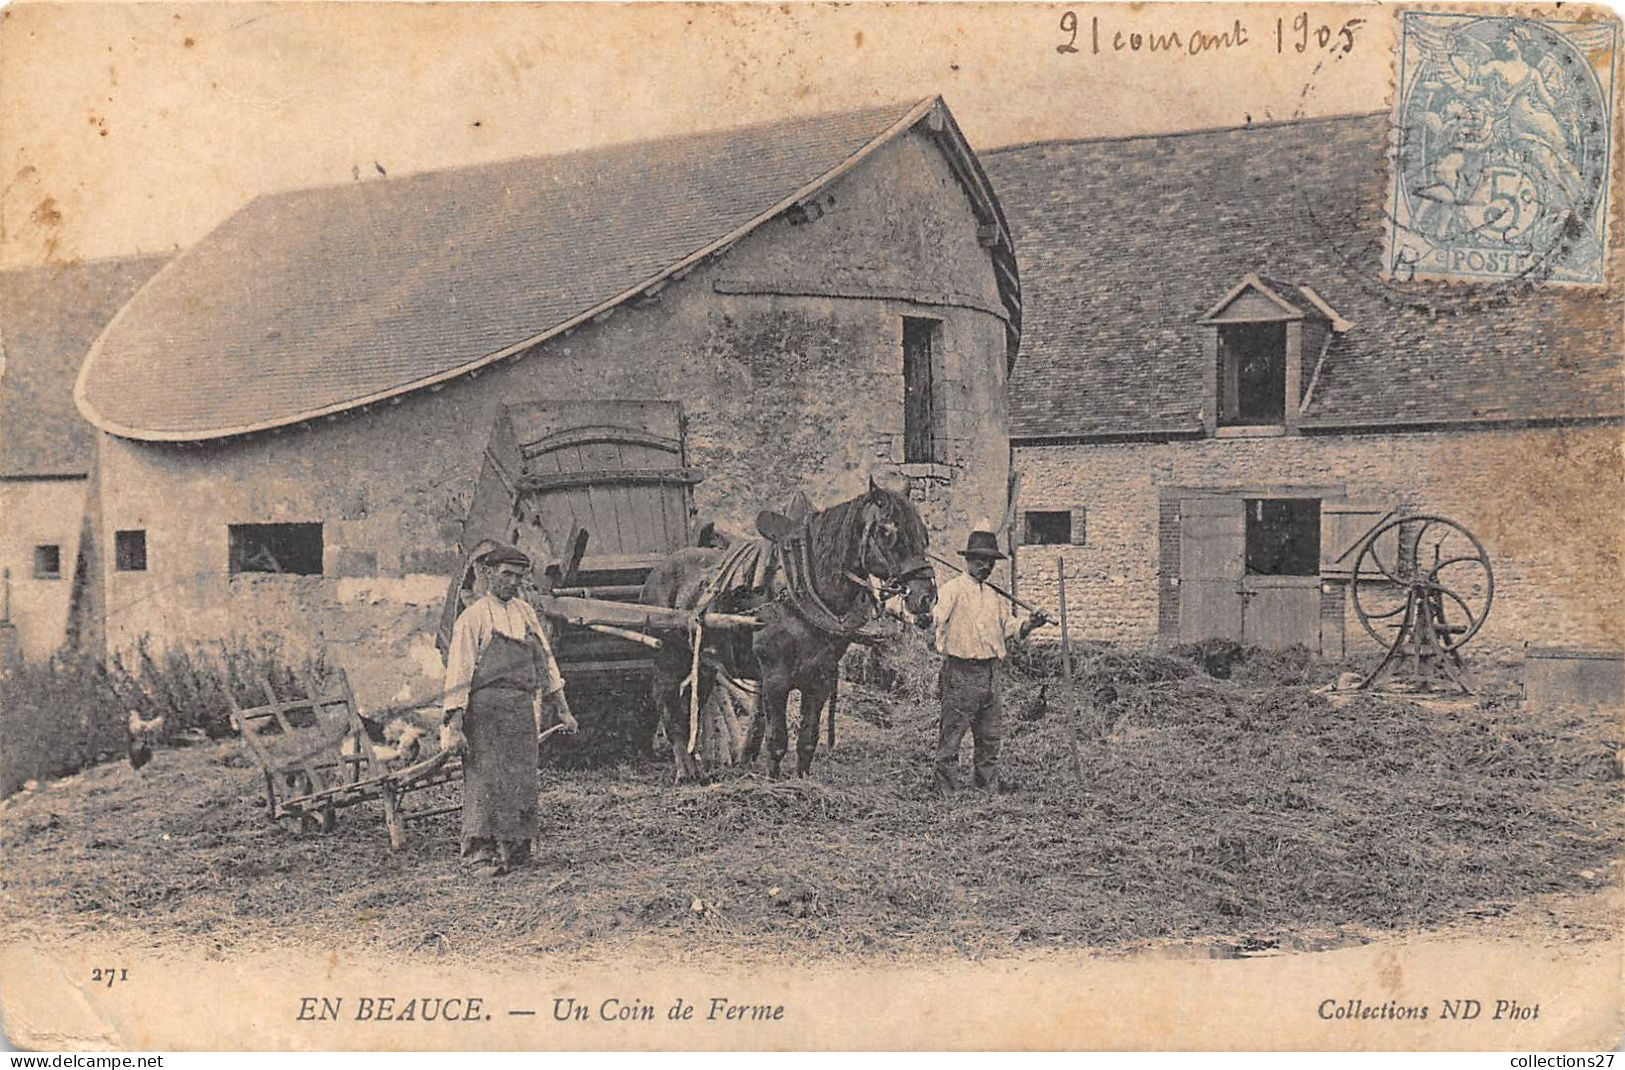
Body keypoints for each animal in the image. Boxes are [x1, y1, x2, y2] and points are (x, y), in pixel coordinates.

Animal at [637, 478, 936, 780]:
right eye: (887, 532)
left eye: (923, 534)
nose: (927, 596)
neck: (800, 593)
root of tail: (661, 568)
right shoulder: (774, 678)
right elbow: (777, 739)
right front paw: (773, 779)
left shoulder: (821, 678)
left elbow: (808, 739)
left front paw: (802, 779)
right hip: (668, 659)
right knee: (668, 708)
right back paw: (685, 771)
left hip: (703, 662)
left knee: (693, 705)